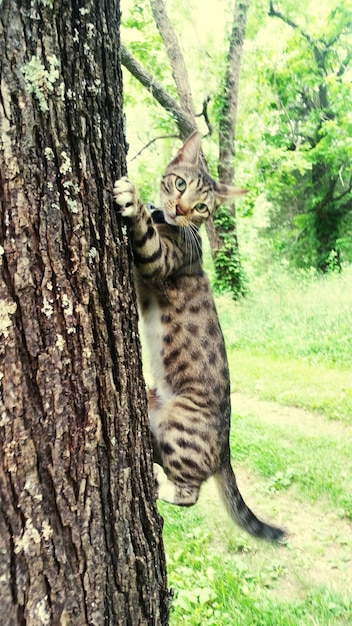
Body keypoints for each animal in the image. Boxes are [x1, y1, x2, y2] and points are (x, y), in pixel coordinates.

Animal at [114, 133, 284, 540]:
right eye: (179, 184)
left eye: (202, 207)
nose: (180, 208)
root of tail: (225, 448)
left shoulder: (160, 261)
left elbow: (145, 233)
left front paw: (132, 197)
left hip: (181, 428)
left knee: (189, 493)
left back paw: (159, 492)